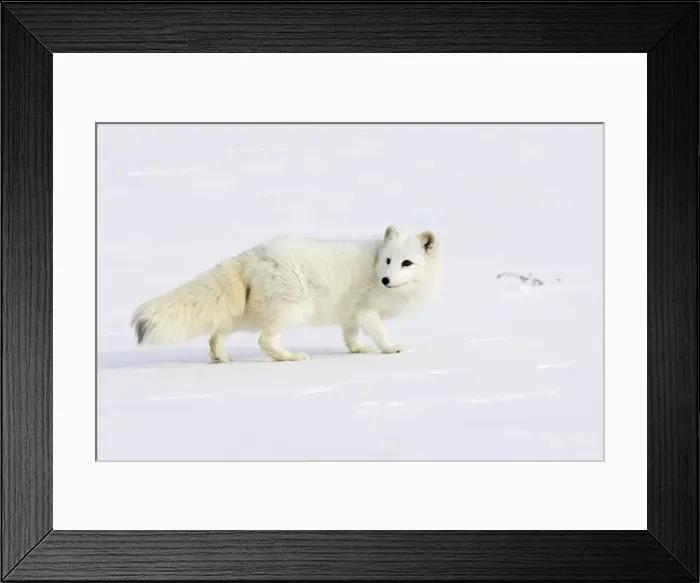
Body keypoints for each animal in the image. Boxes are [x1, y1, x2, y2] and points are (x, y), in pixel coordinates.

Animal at [131, 225, 443, 363]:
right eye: (389, 260)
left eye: (406, 263)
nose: (386, 279)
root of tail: (254, 252)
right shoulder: (367, 311)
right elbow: (380, 334)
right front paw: (392, 349)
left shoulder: (351, 314)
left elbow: (350, 336)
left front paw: (358, 350)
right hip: (290, 310)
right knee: (264, 340)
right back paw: (290, 357)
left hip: (254, 312)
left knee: (220, 329)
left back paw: (220, 357)